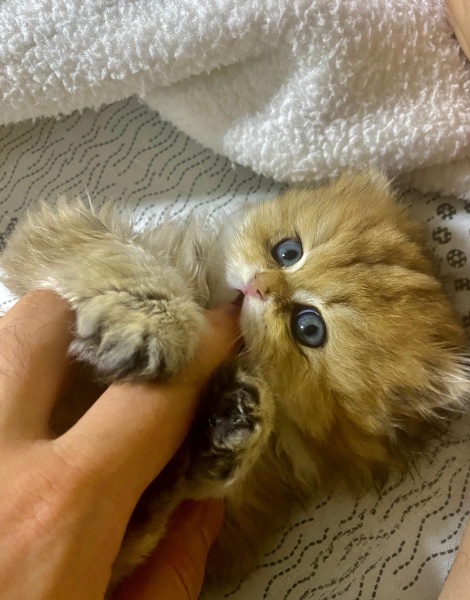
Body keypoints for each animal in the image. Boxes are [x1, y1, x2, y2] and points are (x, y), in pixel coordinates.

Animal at [1, 170, 468, 592]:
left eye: (309, 328)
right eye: (288, 251)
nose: (258, 285)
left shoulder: (233, 524)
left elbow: (137, 536)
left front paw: (229, 427)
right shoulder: (55, 239)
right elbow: (123, 258)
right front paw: (152, 322)